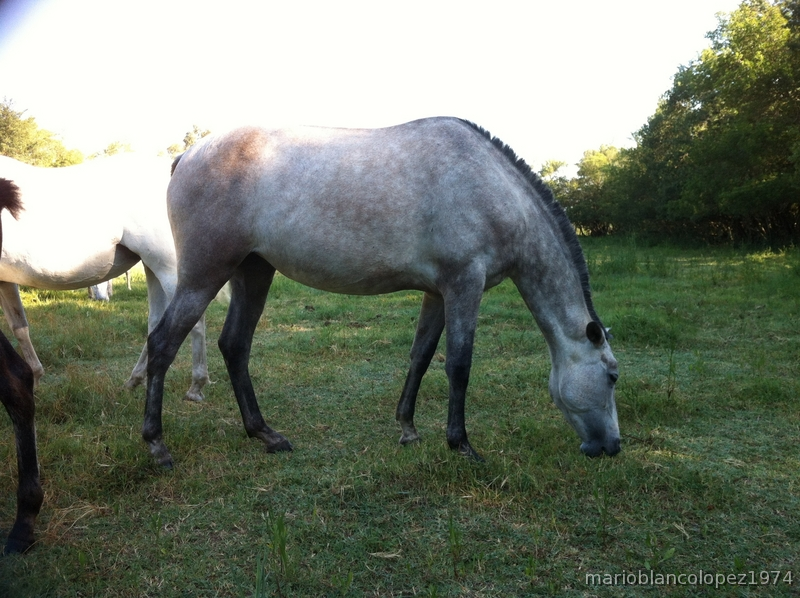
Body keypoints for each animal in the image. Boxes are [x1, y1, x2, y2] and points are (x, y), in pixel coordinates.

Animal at [0, 155, 209, 402]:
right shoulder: (5, 281)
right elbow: (19, 327)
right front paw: (35, 378)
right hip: (152, 266)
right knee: (156, 322)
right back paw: (134, 380)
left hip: (167, 267)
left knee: (192, 321)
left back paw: (196, 387)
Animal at [144, 117, 620, 468]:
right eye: (613, 375)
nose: (613, 447)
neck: (494, 189)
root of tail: (187, 155)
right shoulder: (465, 284)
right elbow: (459, 365)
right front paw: (462, 445)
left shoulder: (438, 292)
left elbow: (422, 356)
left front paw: (408, 428)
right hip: (204, 275)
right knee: (162, 344)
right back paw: (157, 446)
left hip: (253, 272)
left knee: (235, 345)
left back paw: (266, 434)